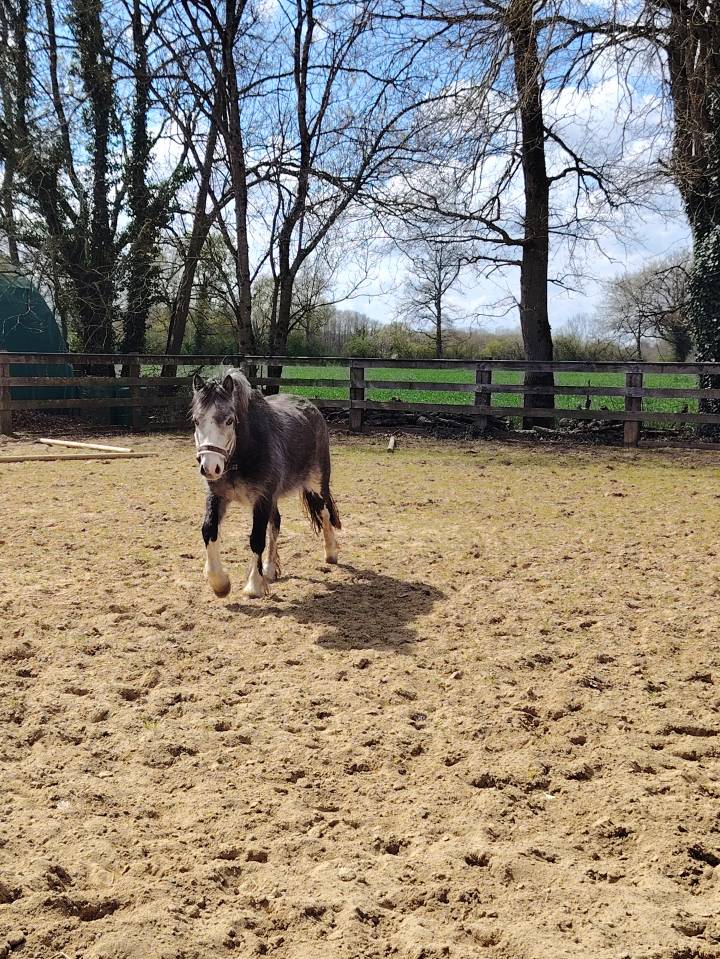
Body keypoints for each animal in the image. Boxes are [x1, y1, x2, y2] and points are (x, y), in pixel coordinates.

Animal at [191, 368, 341, 598]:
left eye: (229, 421)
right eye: (196, 421)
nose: (209, 467)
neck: (242, 456)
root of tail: (312, 408)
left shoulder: (262, 498)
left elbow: (256, 538)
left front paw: (254, 585)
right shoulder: (218, 496)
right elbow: (209, 530)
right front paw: (220, 583)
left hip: (318, 482)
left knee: (323, 511)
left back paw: (331, 553)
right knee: (276, 523)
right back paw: (270, 570)